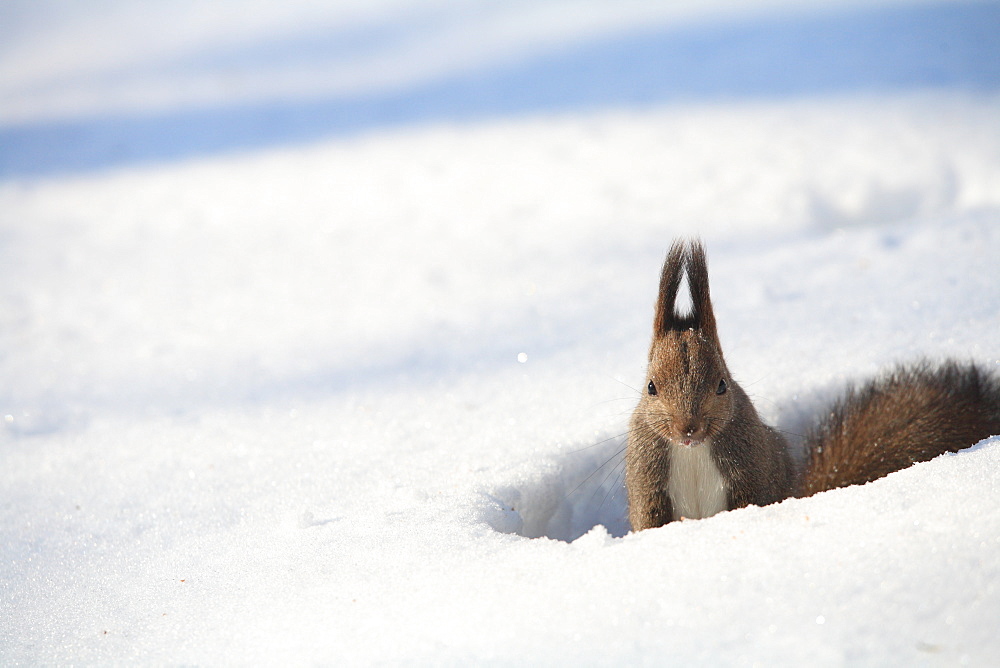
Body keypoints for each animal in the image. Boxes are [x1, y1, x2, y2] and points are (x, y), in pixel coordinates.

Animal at [624, 237, 1000, 528]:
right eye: (651, 387)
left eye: (722, 385)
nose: (689, 428)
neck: (693, 451)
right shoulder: (648, 482)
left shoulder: (753, 468)